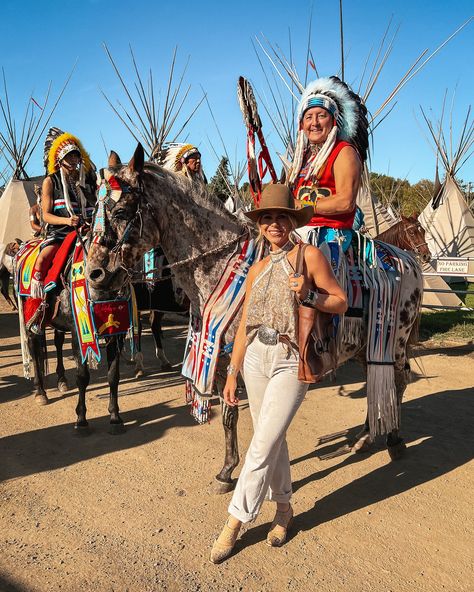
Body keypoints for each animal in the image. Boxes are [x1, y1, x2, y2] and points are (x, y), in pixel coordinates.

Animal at [87, 145, 424, 494]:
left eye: (122, 211)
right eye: (93, 210)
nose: (94, 273)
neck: (222, 263)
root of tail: (407, 260)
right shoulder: (223, 359)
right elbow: (229, 415)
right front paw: (227, 470)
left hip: (394, 340)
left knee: (398, 379)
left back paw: (393, 440)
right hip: (364, 346)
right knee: (376, 381)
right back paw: (363, 438)